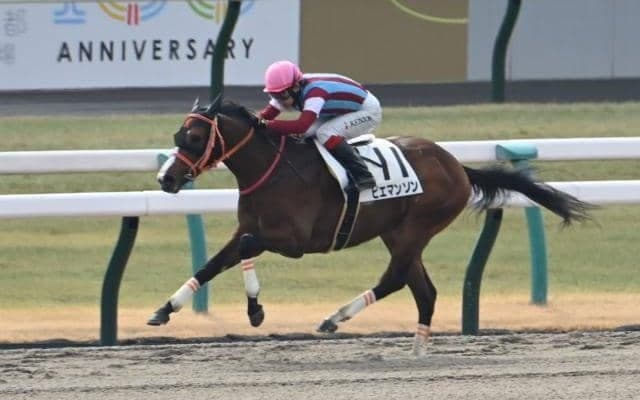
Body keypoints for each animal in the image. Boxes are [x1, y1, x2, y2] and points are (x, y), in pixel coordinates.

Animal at [147, 97, 590, 355]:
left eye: (194, 138)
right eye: (177, 134)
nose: (165, 179)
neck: (272, 170)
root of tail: (456, 166)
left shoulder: (294, 241)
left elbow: (244, 250)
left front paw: (255, 310)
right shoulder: (248, 228)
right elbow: (212, 263)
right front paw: (164, 310)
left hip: (416, 228)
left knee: (395, 279)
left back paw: (334, 318)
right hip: (397, 232)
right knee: (423, 290)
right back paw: (418, 349)